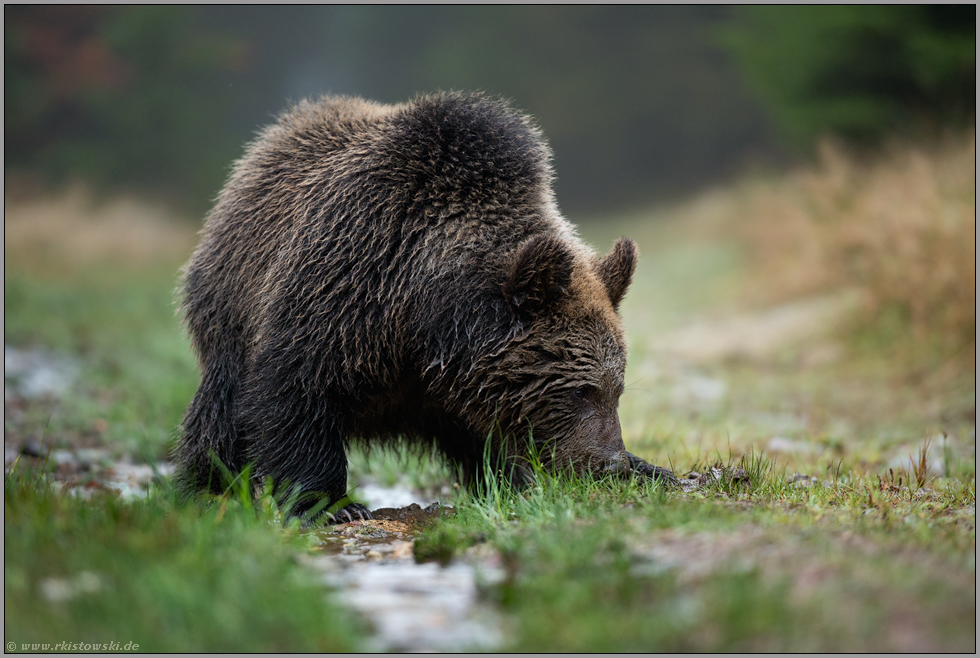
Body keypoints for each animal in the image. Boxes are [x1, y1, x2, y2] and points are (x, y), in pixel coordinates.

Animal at [176, 92, 672, 520]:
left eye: (617, 388)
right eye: (581, 390)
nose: (609, 463)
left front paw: (652, 468)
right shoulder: (344, 286)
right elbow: (296, 390)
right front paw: (332, 505)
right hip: (230, 311)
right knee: (220, 415)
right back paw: (205, 491)